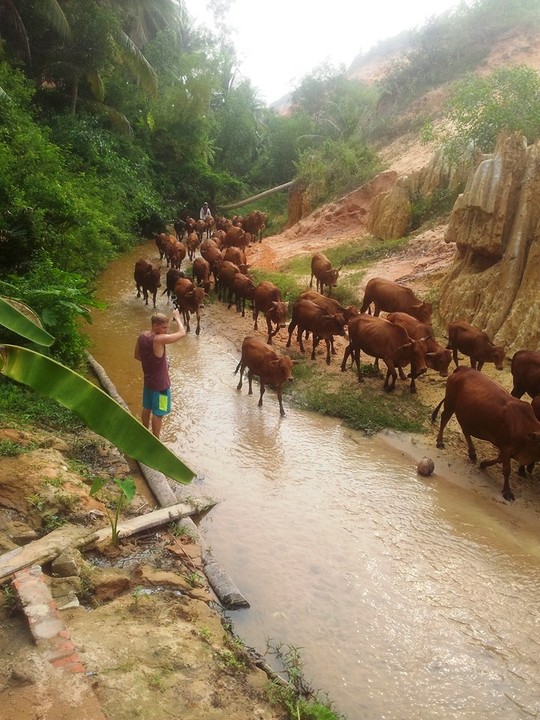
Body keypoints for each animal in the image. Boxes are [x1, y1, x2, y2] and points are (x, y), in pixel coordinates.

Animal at [432, 366, 540, 500]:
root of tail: (464, 368)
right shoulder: (506, 448)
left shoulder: (507, 449)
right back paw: (440, 442)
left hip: (465, 414)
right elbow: (506, 470)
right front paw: (507, 491)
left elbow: (499, 460)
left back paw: (472, 453)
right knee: (444, 419)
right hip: (450, 403)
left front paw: (483, 464)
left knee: (465, 430)